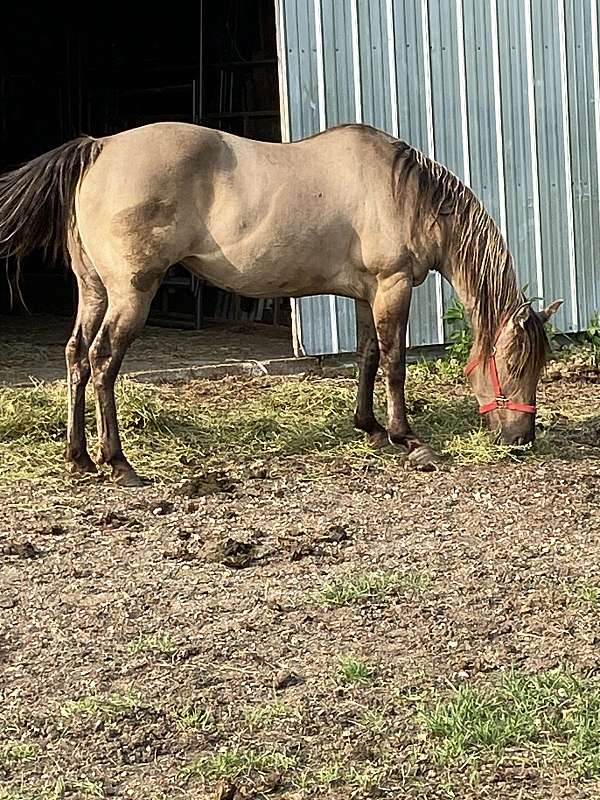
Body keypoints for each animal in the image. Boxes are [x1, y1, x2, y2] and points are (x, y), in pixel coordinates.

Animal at [0, 122, 561, 486]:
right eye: (515, 364)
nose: (522, 438)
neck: (405, 194)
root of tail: (99, 149)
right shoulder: (393, 286)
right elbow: (395, 362)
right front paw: (408, 439)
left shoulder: (366, 293)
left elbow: (367, 358)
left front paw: (370, 429)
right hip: (130, 294)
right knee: (103, 362)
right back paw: (118, 463)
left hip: (93, 290)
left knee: (76, 357)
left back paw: (79, 458)